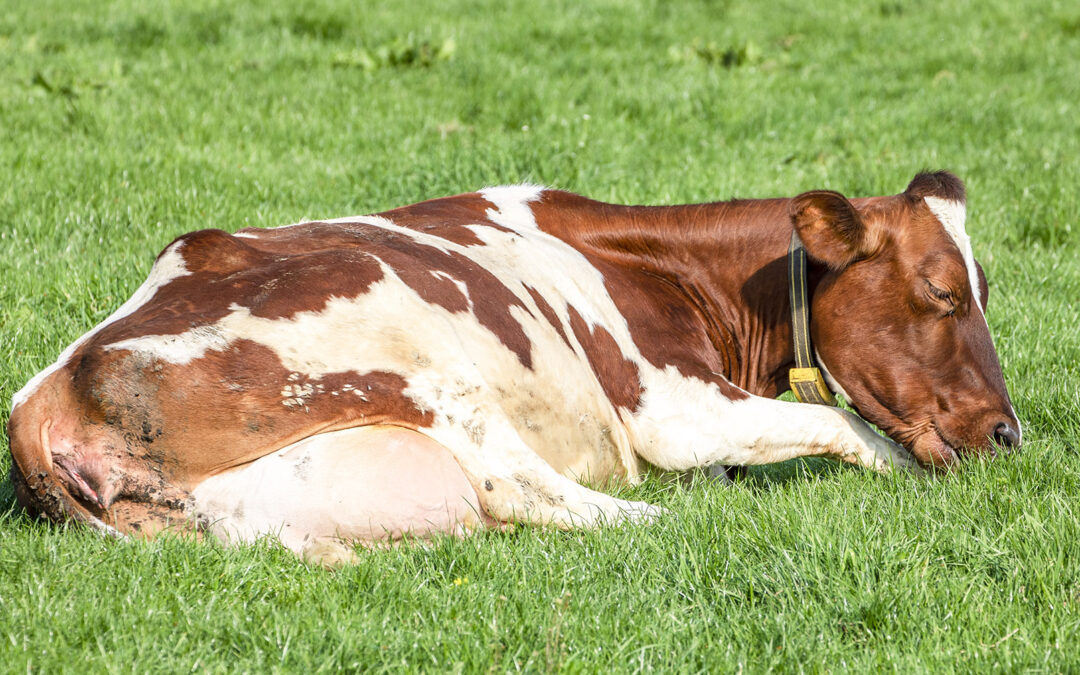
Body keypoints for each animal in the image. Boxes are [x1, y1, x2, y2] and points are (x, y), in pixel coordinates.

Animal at [6, 169, 1019, 561]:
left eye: (983, 287)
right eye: (941, 291)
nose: (1010, 433)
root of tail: (45, 394)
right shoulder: (675, 406)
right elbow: (838, 420)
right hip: (415, 353)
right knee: (529, 491)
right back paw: (663, 519)